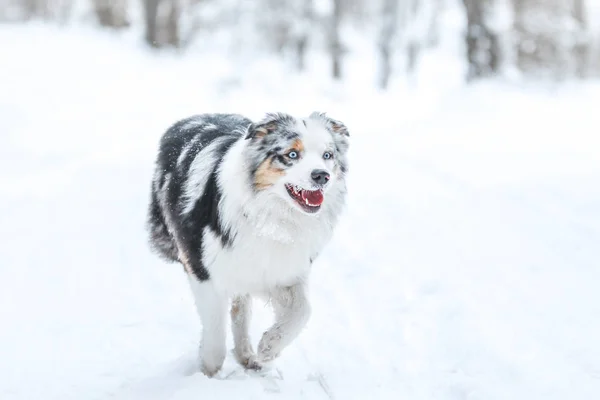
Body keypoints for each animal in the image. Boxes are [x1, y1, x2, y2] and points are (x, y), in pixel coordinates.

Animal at [147, 111, 350, 376]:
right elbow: (214, 330)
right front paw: (208, 372)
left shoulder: (279, 269)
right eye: (292, 154)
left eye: (327, 155)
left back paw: (247, 355)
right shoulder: (203, 271)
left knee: (240, 309)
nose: (322, 176)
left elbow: (303, 311)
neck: (270, 218)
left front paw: (269, 346)